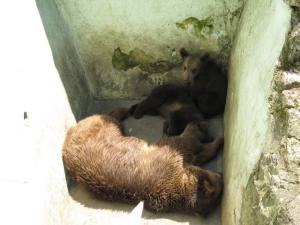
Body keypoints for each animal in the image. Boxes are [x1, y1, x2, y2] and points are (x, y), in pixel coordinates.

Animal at [62, 108, 223, 215]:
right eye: (217, 177)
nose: (221, 174)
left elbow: (198, 151)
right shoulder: (170, 155)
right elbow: (188, 141)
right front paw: (206, 132)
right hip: (99, 128)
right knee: (108, 119)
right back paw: (121, 111)